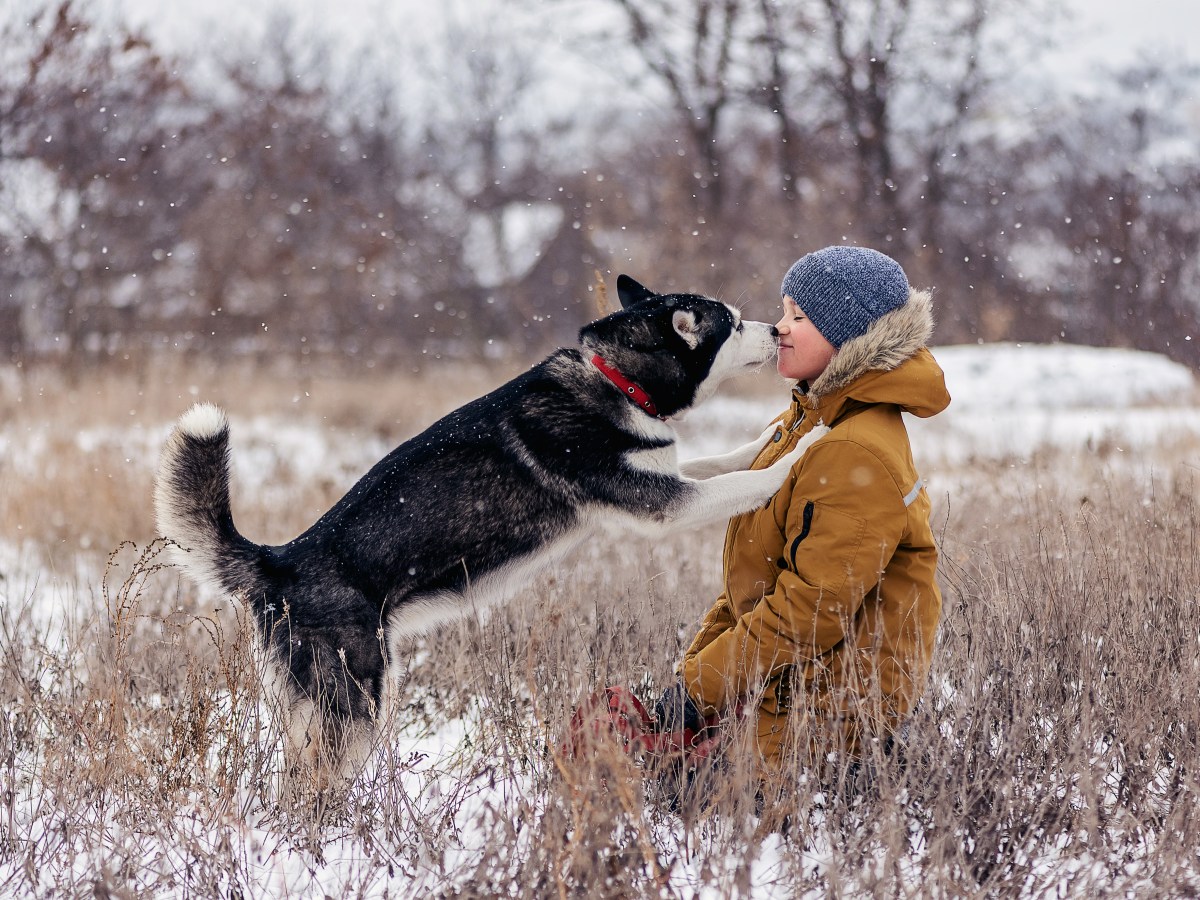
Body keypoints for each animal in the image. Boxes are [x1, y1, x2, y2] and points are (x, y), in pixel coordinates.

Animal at [157, 277, 825, 782]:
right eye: (731, 324)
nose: (775, 331)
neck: (617, 378)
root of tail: (281, 560)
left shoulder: (666, 479)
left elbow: (728, 462)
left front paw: (771, 439)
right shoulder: (661, 504)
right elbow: (743, 483)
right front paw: (806, 448)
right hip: (357, 699)